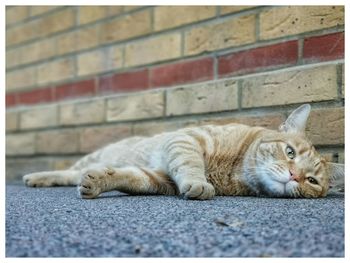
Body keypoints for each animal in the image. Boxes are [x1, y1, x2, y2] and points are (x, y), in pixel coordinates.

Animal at [21, 104, 342, 200]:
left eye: (312, 181)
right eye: (290, 152)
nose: (294, 176)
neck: (235, 170)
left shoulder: (159, 179)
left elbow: (131, 178)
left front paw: (101, 181)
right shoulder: (187, 140)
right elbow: (189, 164)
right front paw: (199, 182)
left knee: (72, 175)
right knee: (69, 170)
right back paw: (37, 175)